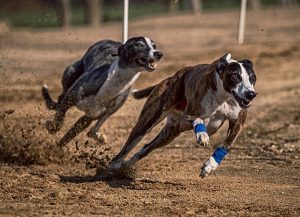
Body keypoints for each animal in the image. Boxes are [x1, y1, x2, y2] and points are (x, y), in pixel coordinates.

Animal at [109, 53, 256, 178]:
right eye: (235, 76)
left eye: (253, 78)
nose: (251, 94)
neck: (224, 96)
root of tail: (171, 78)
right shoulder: (186, 119)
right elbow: (198, 119)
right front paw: (202, 135)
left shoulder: (238, 123)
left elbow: (226, 144)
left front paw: (210, 166)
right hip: (148, 122)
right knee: (128, 146)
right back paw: (114, 165)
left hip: (169, 134)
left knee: (146, 148)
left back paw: (126, 165)